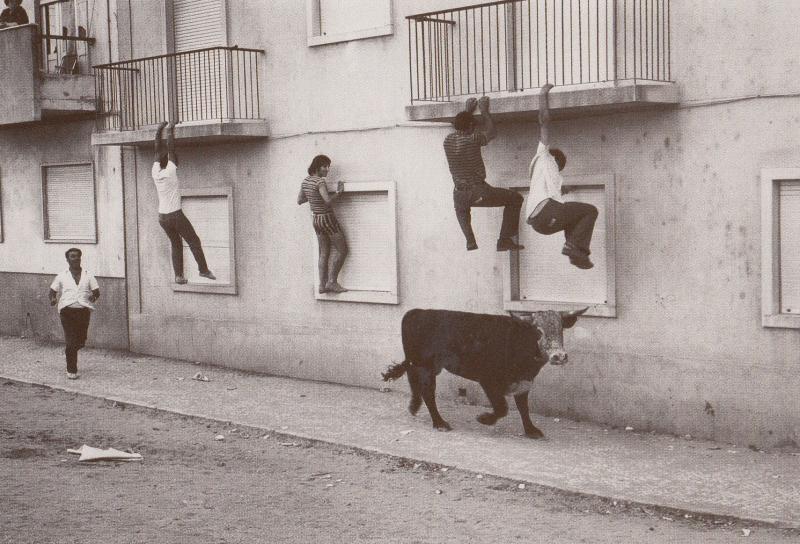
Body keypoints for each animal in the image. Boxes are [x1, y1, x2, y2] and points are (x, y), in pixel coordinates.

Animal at [382, 308, 588, 440]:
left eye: (561, 329)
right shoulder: (489, 380)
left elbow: (523, 408)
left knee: (412, 378)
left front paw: (531, 430)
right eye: (538, 330)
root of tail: (416, 312)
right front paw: (484, 419)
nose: (559, 356)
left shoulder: (523, 383)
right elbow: (503, 408)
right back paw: (439, 423)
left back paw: (414, 407)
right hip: (425, 366)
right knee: (428, 392)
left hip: (421, 364)